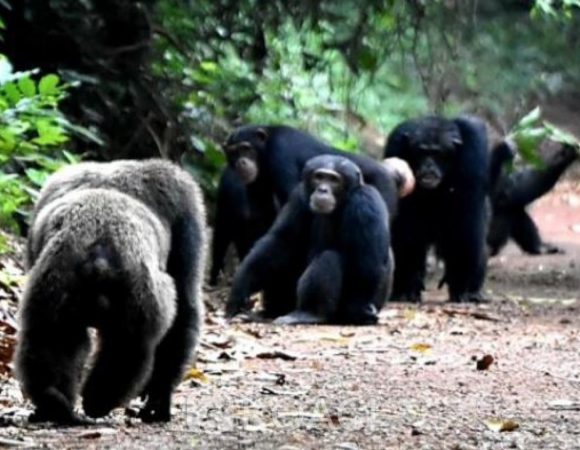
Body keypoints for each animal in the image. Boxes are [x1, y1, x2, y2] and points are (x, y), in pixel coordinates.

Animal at [14, 160, 208, 424]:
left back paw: (56, 402)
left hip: (54, 281)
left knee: (51, 335)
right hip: (140, 296)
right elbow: (186, 308)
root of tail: (99, 258)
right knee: (127, 348)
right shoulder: (186, 203)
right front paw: (159, 397)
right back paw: (99, 401)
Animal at [224, 155, 392, 324]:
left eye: (334, 180)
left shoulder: (365, 203)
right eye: (319, 177)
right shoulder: (298, 196)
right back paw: (268, 311)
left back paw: (310, 313)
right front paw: (239, 291)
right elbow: (281, 240)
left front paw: (358, 310)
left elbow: (366, 262)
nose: (322, 190)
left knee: (329, 257)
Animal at [386, 115, 490, 302]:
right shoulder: (396, 145)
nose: (428, 166)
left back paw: (473, 292)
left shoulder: (475, 146)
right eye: (421, 152)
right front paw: (409, 285)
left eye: (437, 153)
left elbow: (465, 217)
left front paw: (460, 285)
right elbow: (407, 224)